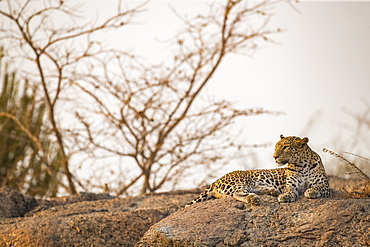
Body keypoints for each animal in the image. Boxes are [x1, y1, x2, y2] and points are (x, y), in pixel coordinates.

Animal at [186, 135, 330, 206]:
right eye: (276, 147)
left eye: (286, 147)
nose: (274, 156)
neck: (301, 165)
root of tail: (216, 181)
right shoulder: (291, 185)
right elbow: (289, 190)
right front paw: (285, 196)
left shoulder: (325, 185)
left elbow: (318, 187)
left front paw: (311, 191)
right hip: (242, 181)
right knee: (236, 194)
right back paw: (253, 199)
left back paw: (271, 191)